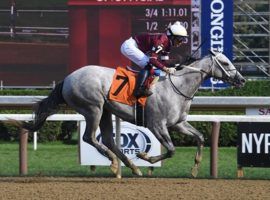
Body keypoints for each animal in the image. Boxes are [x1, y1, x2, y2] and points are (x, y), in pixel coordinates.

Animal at [20, 50, 246, 177]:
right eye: (226, 63)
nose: (242, 80)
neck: (177, 86)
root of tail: (67, 78)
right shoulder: (157, 125)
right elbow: (171, 150)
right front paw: (145, 156)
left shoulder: (178, 123)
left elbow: (200, 138)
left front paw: (195, 169)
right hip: (93, 108)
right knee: (89, 137)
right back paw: (114, 162)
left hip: (105, 111)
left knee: (108, 139)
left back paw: (131, 167)